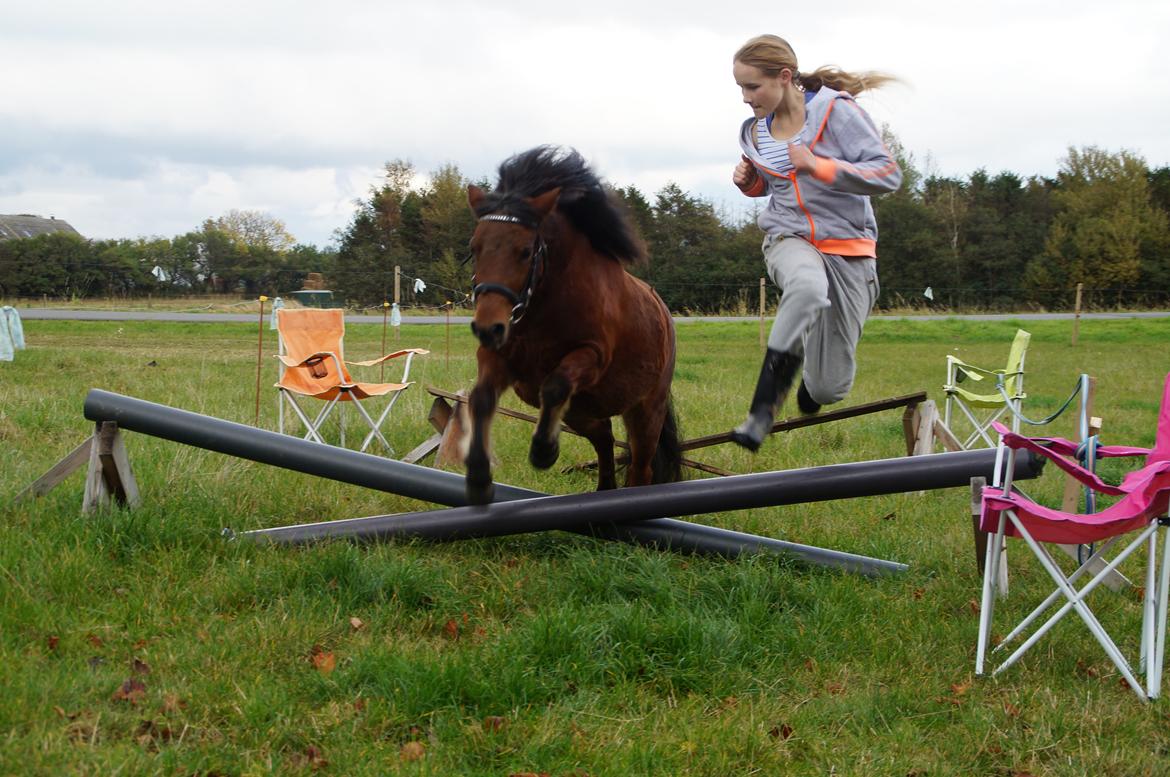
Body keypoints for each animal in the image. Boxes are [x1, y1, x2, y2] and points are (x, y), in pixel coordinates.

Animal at [463, 146, 683, 507]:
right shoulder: (498, 357)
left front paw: (543, 451)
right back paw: (604, 490)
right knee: (604, 438)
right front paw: (479, 478)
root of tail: (664, 315)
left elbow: (555, 385)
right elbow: (480, 398)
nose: (487, 328)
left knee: (641, 468)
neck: (543, 303)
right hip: (582, 412)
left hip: (646, 410)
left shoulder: (591, 356)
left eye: (525, 251)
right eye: (474, 247)